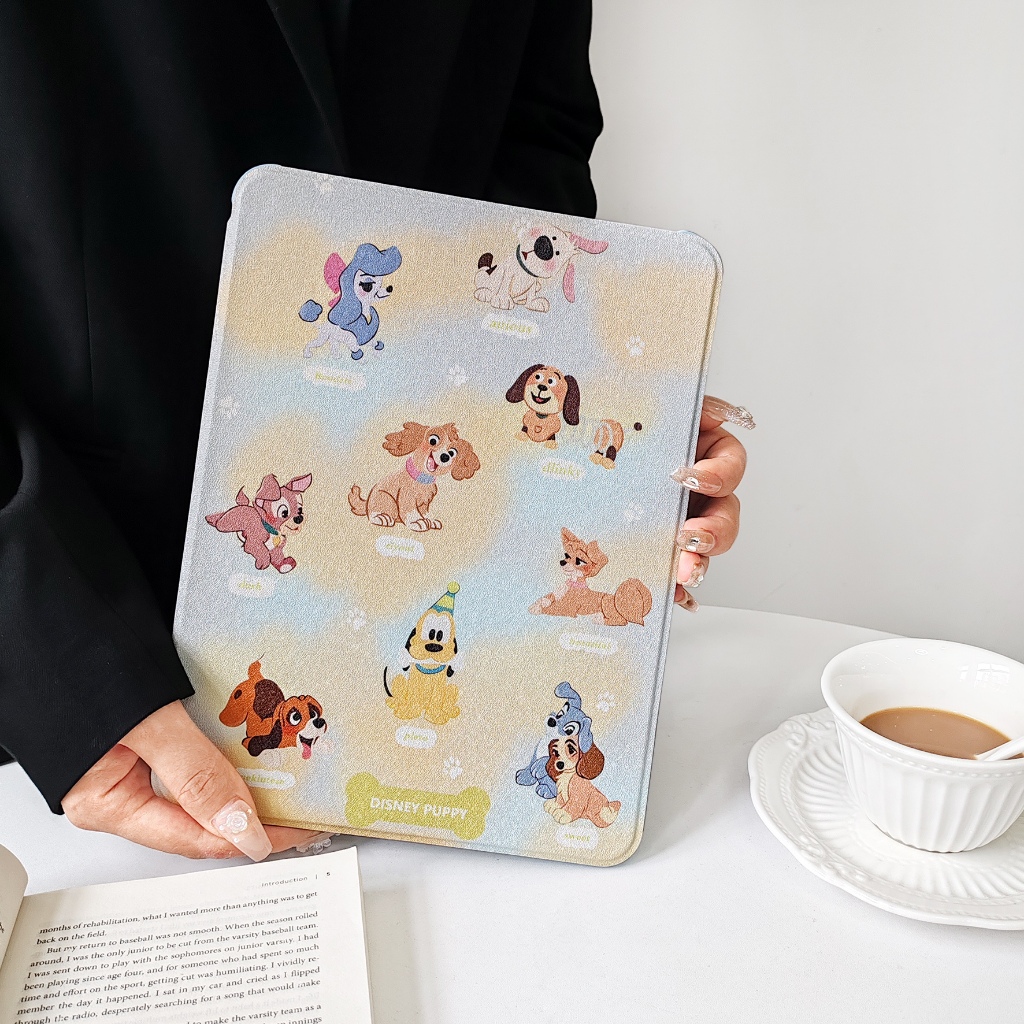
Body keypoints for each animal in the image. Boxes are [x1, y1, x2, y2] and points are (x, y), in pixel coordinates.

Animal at [349, 422, 479, 532]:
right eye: (433, 440)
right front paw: (417, 522)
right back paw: (381, 517)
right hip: (385, 498)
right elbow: (410, 511)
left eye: (452, 452)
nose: (445, 457)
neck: (422, 479)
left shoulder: (424, 503)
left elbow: (425, 512)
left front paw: (430, 520)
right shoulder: (406, 497)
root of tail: (367, 502)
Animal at [384, 583, 463, 726]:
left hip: (451, 689)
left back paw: (450, 710)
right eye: (430, 633)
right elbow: (412, 699)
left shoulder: (439, 687)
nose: (433, 646)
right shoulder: (415, 683)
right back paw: (395, 702)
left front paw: (435, 717)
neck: (429, 666)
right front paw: (408, 712)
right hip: (401, 682)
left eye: (440, 635)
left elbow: (436, 701)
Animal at [474, 222, 607, 313]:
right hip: (483, 276)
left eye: (558, 253)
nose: (543, 245)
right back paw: (484, 293)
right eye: (553, 237)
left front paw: (534, 303)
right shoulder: (508, 271)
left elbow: (532, 293)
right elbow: (504, 284)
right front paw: (502, 300)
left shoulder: (533, 282)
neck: (524, 271)